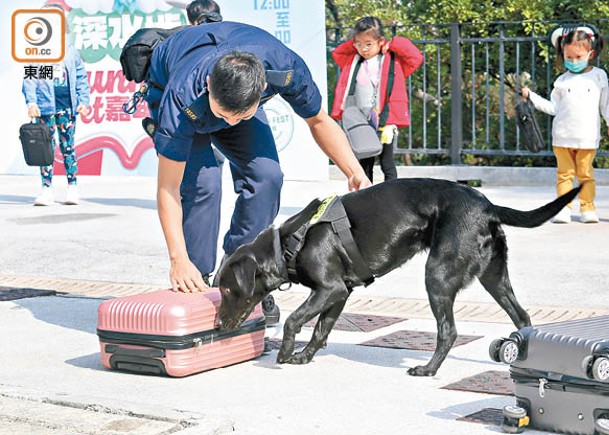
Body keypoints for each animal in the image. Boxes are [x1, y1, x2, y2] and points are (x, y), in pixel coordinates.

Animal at [215, 179, 580, 376]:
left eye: (227, 289)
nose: (217, 324)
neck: (289, 242)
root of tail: (488, 206)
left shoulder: (329, 289)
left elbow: (295, 319)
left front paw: (285, 352)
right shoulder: (339, 293)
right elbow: (321, 328)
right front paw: (304, 356)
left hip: (438, 275)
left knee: (448, 331)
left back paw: (429, 369)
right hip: (494, 277)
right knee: (522, 317)